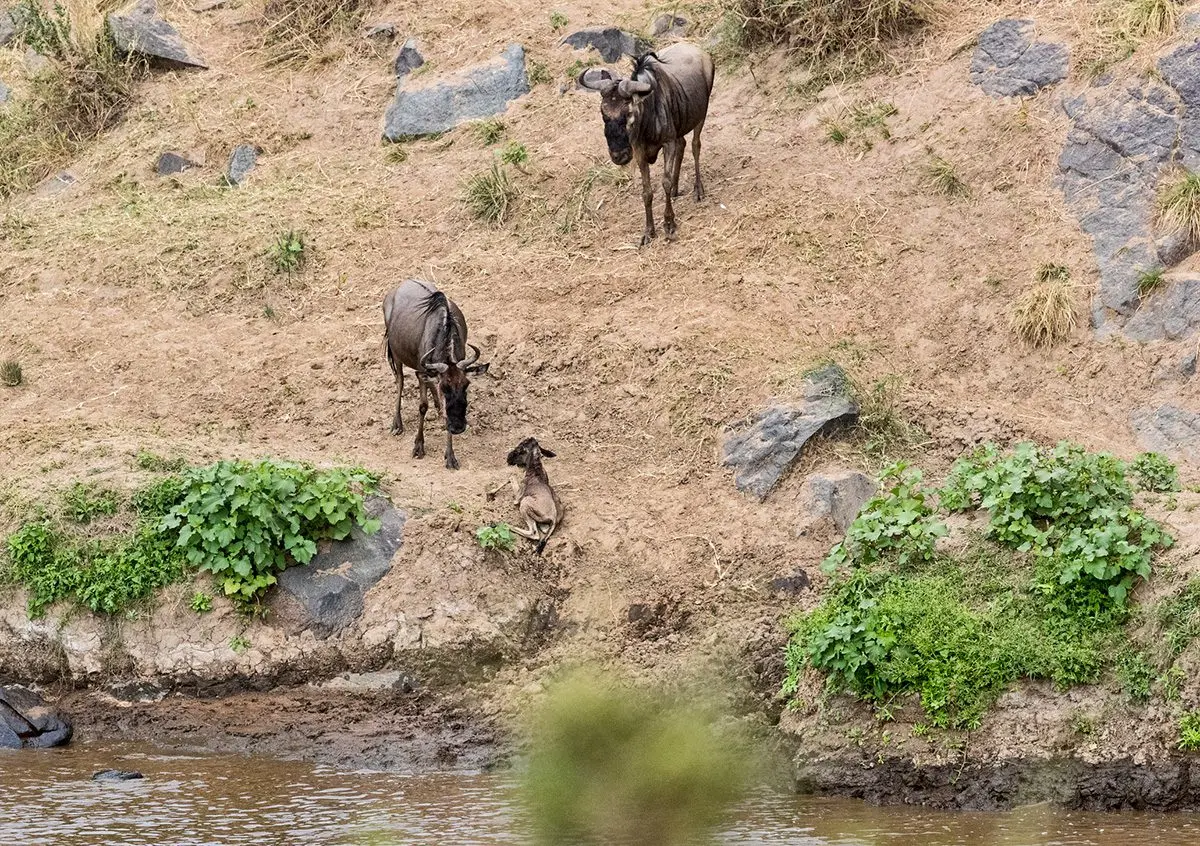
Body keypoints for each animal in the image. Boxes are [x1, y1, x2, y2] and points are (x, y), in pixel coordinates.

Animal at [383, 279, 489, 470]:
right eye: (445, 388)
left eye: (466, 385)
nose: (458, 427)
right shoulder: (421, 371)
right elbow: (422, 406)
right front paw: (418, 446)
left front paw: (450, 456)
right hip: (396, 354)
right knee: (400, 381)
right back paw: (397, 424)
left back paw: (438, 408)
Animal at [577, 42, 715, 246]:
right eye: (603, 113)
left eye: (628, 113)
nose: (618, 156)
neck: (649, 115)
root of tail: (701, 53)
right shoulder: (639, 152)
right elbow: (647, 192)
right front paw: (649, 231)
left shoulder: (667, 143)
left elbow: (664, 183)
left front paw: (669, 224)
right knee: (682, 144)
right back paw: (677, 188)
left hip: (700, 116)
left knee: (695, 146)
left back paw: (698, 190)